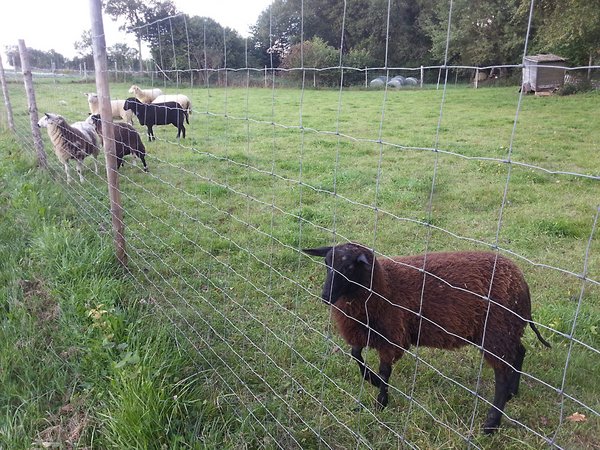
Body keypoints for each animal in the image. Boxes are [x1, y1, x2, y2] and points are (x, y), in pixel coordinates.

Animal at [303, 242, 551, 434]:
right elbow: (355, 354)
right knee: (519, 353)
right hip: (507, 330)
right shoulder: (365, 332)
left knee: (502, 374)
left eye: (349, 267)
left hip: (497, 331)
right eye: (327, 264)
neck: (383, 287)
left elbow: (385, 371)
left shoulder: (393, 335)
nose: (325, 296)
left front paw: (380, 402)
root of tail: (520, 279)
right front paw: (371, 380)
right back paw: (512, 392)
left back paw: (491, 423)